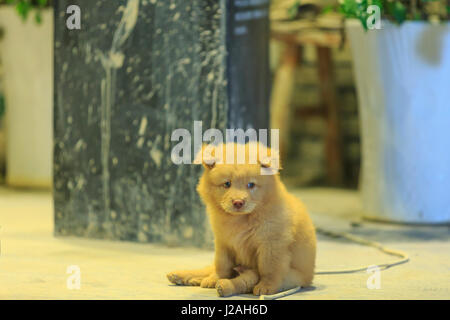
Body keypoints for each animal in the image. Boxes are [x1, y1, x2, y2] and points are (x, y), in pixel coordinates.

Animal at [166, 142, 316, 298]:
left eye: (251, 185)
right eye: (227, 184)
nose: (238, 202)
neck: (241, 219)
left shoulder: (272, 245)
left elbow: (269, 269)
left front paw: (266, 287)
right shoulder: (223, 242)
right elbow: (221, 265)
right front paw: (215, 278)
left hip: (290, 276)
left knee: (247, 279)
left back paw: (221, 285)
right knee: (209, 268)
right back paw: (183, 276)